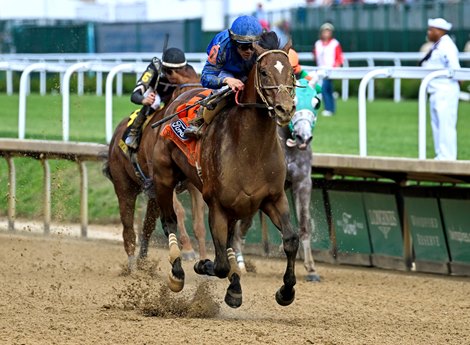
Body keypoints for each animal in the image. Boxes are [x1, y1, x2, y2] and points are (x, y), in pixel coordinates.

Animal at [104, 70, 207, 268]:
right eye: (189, 98)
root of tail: (113, 140)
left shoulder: (193, 184)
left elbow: (199, 223)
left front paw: (205, 261)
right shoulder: (161, 180)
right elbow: (179, 212)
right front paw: (188, 250)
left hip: (152, 196)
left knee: (147, 227)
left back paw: (143, 262)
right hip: (124, 185)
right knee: (128, 226)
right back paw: (132, 264)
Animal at [153, 33, 298, 306]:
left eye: (292, 72)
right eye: (264, 72)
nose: (285, 109)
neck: (251, 149)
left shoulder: (273, 198)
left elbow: (291, 240)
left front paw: (286, 291)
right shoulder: (217, 205)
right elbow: (219, 264)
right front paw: (202, 265)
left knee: (230, 241)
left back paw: (235, 287)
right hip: (164, 177)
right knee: (169, 221)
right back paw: (177, 272)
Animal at [233, 76, 322, 280]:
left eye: (316, 103)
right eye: (294, 100)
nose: (304, 137)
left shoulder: (302, 182)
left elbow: (304, 224)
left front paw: (311, 268)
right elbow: (242, 224)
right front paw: (239, 263)